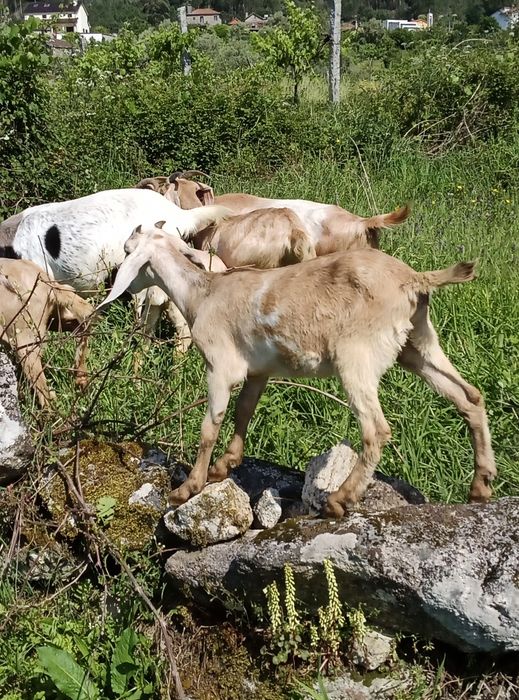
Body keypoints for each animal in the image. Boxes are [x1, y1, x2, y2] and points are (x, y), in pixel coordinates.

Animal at [0, 259, 93, 408]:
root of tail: (50, 286)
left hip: (25, 340)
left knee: (45, 390)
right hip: (54, 318)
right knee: (81, 324)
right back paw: (81, 379)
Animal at [98, 223, 496, 517]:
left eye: (128, 250)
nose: (117, 277)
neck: (202, 294)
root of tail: (413, 280)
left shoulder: (220, 365)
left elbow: (210, 426)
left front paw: (188, 488)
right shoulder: (259, 369)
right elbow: (244, 411)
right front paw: (226, 464)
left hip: (357, 353)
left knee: (377, 429)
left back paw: (340, 499)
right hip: (418, 343)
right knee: (470, 396)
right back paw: (481, 486)